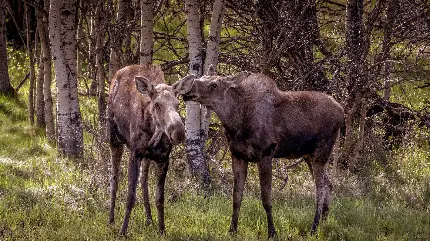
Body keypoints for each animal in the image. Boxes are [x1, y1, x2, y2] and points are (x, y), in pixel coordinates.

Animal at [107, 64, 195, 235]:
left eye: (177, 104)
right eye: (157, 104)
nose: (178, 132)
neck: (153, 134)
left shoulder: (163, 158)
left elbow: (159, 198)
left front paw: (162, 229)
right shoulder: (134, 153)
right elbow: (130, 196)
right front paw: (123, 231)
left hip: (147, 157)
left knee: (144, 181)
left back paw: (149, 219)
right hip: (114, 140)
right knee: (114, 179)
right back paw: (111, 219)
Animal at [180, 68, 344, 238]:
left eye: (214, 85)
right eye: (203, 78)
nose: (189, 90)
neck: (235, 124)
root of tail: (342, 112)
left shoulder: (265, 154)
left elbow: (266, 199)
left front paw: (272, 232)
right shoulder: (238, 156)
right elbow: (236, 198)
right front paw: (232, 229)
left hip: (321, 153)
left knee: (320, 188)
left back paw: (314, 228)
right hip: (309, 156)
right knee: (329, 184)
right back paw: (323, 222)